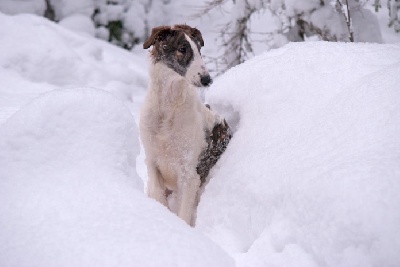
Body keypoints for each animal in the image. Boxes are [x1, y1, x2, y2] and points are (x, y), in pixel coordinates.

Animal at [140, 24, 228, 226]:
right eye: (182, 49)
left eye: (200, 49)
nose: (207, 80)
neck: (167, 110)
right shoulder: (152, 160)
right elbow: (158, 195)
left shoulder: (189, 175)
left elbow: (184, 216)